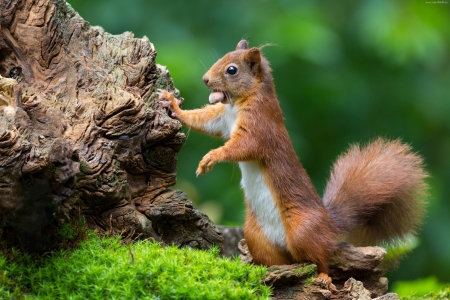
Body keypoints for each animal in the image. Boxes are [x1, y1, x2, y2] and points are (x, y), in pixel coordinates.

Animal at [157, 39, 426, 286]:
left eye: (231, 70)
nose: (205, 80)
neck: (242, 102)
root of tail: (329, 224)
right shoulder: (222, 119)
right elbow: (204, 120)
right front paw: (173, 105)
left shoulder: (260, 128)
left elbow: (242, 147)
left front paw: (210, 158)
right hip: (255, 236)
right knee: (282, 260)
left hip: (302, 230)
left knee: (321, 258)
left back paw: (323, 277)